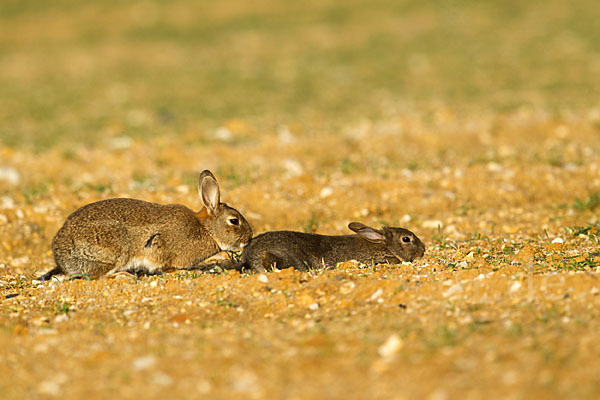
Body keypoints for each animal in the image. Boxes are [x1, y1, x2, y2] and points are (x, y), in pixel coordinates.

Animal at [37, 170, 253, 280]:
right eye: (234, 220)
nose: (249, 237)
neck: (206, 229)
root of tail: (61, 258)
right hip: (113, 247)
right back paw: (123, 276)